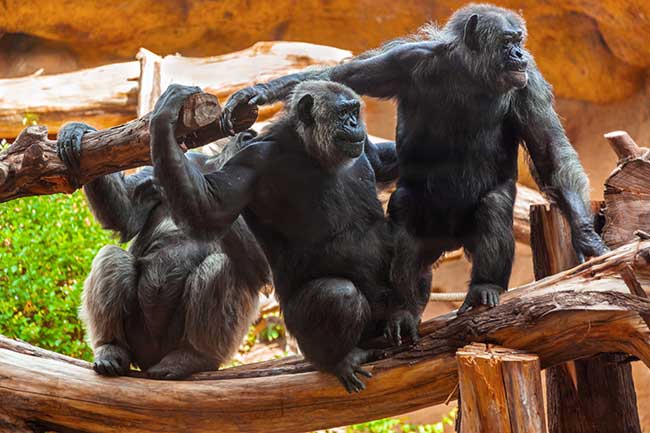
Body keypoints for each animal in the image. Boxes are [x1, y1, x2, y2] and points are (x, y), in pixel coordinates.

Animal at [55, 122, 268, 378]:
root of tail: (152, 360)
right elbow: (126, 213)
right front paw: (78, 131)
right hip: (139, 337)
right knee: (111, 256)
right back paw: (111, 350)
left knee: (222, 267)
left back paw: (191, 357)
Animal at [147, 83, 418, 392]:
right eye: (342, 113)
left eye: (354, 110)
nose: (354, 123)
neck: (312, 151)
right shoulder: (253, 162)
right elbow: (209, 207)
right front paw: (165, 115)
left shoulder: (367, 152)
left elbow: (391, 161)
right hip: (304, 336)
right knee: (338, 294)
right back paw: (342, 359)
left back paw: (404, 315)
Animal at [221, 3, 608, 314]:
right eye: (506, 41)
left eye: (519, 40)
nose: (519, 54)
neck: (470, 74)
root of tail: (450, 244)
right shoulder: (403, 60)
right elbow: (342, 75)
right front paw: (255, 94)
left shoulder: (529, 83)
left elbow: (549, 150)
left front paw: (587, 236)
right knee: (405, 211)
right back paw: (405, 308)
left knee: (495, 204)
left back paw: (484, 287)